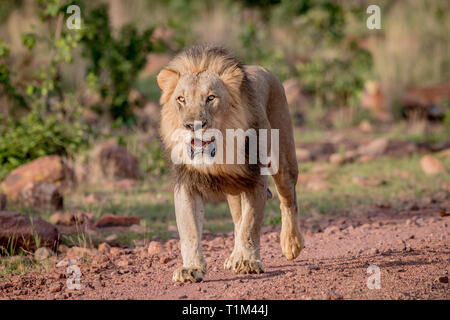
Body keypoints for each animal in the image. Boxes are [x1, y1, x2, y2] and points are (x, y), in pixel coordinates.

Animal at [156, 43, 304, 282]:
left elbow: (251, 225)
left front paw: (249, 263)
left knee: (288, 200)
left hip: (284, 161)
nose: (192, 125)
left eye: (210, 98)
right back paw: (235, 256)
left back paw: (292, 244)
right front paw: (191, 268)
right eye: (181, 99)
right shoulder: (186, 184)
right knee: (237, 219)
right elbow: (189, 230)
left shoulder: (255, 180)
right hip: (234, 188)